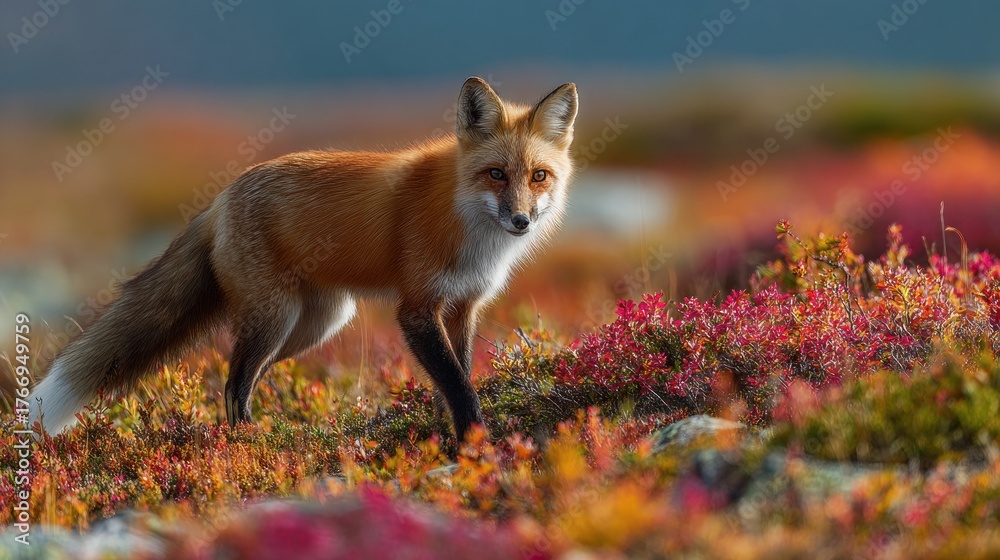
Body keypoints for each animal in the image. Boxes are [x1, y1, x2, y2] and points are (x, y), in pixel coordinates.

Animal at [30, 77, 578, 440]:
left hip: (316, 324)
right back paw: (247, 443)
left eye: (538, 177)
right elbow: (459, 386)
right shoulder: (418, 309)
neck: (467, 223)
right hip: (276, 318)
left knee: (246, 376)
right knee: (233, 381)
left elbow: (457, 376)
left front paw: (453, 436)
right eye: (496, 174)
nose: (521, 221)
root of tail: (222, 195)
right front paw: (474, 443)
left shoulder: (463, 306)